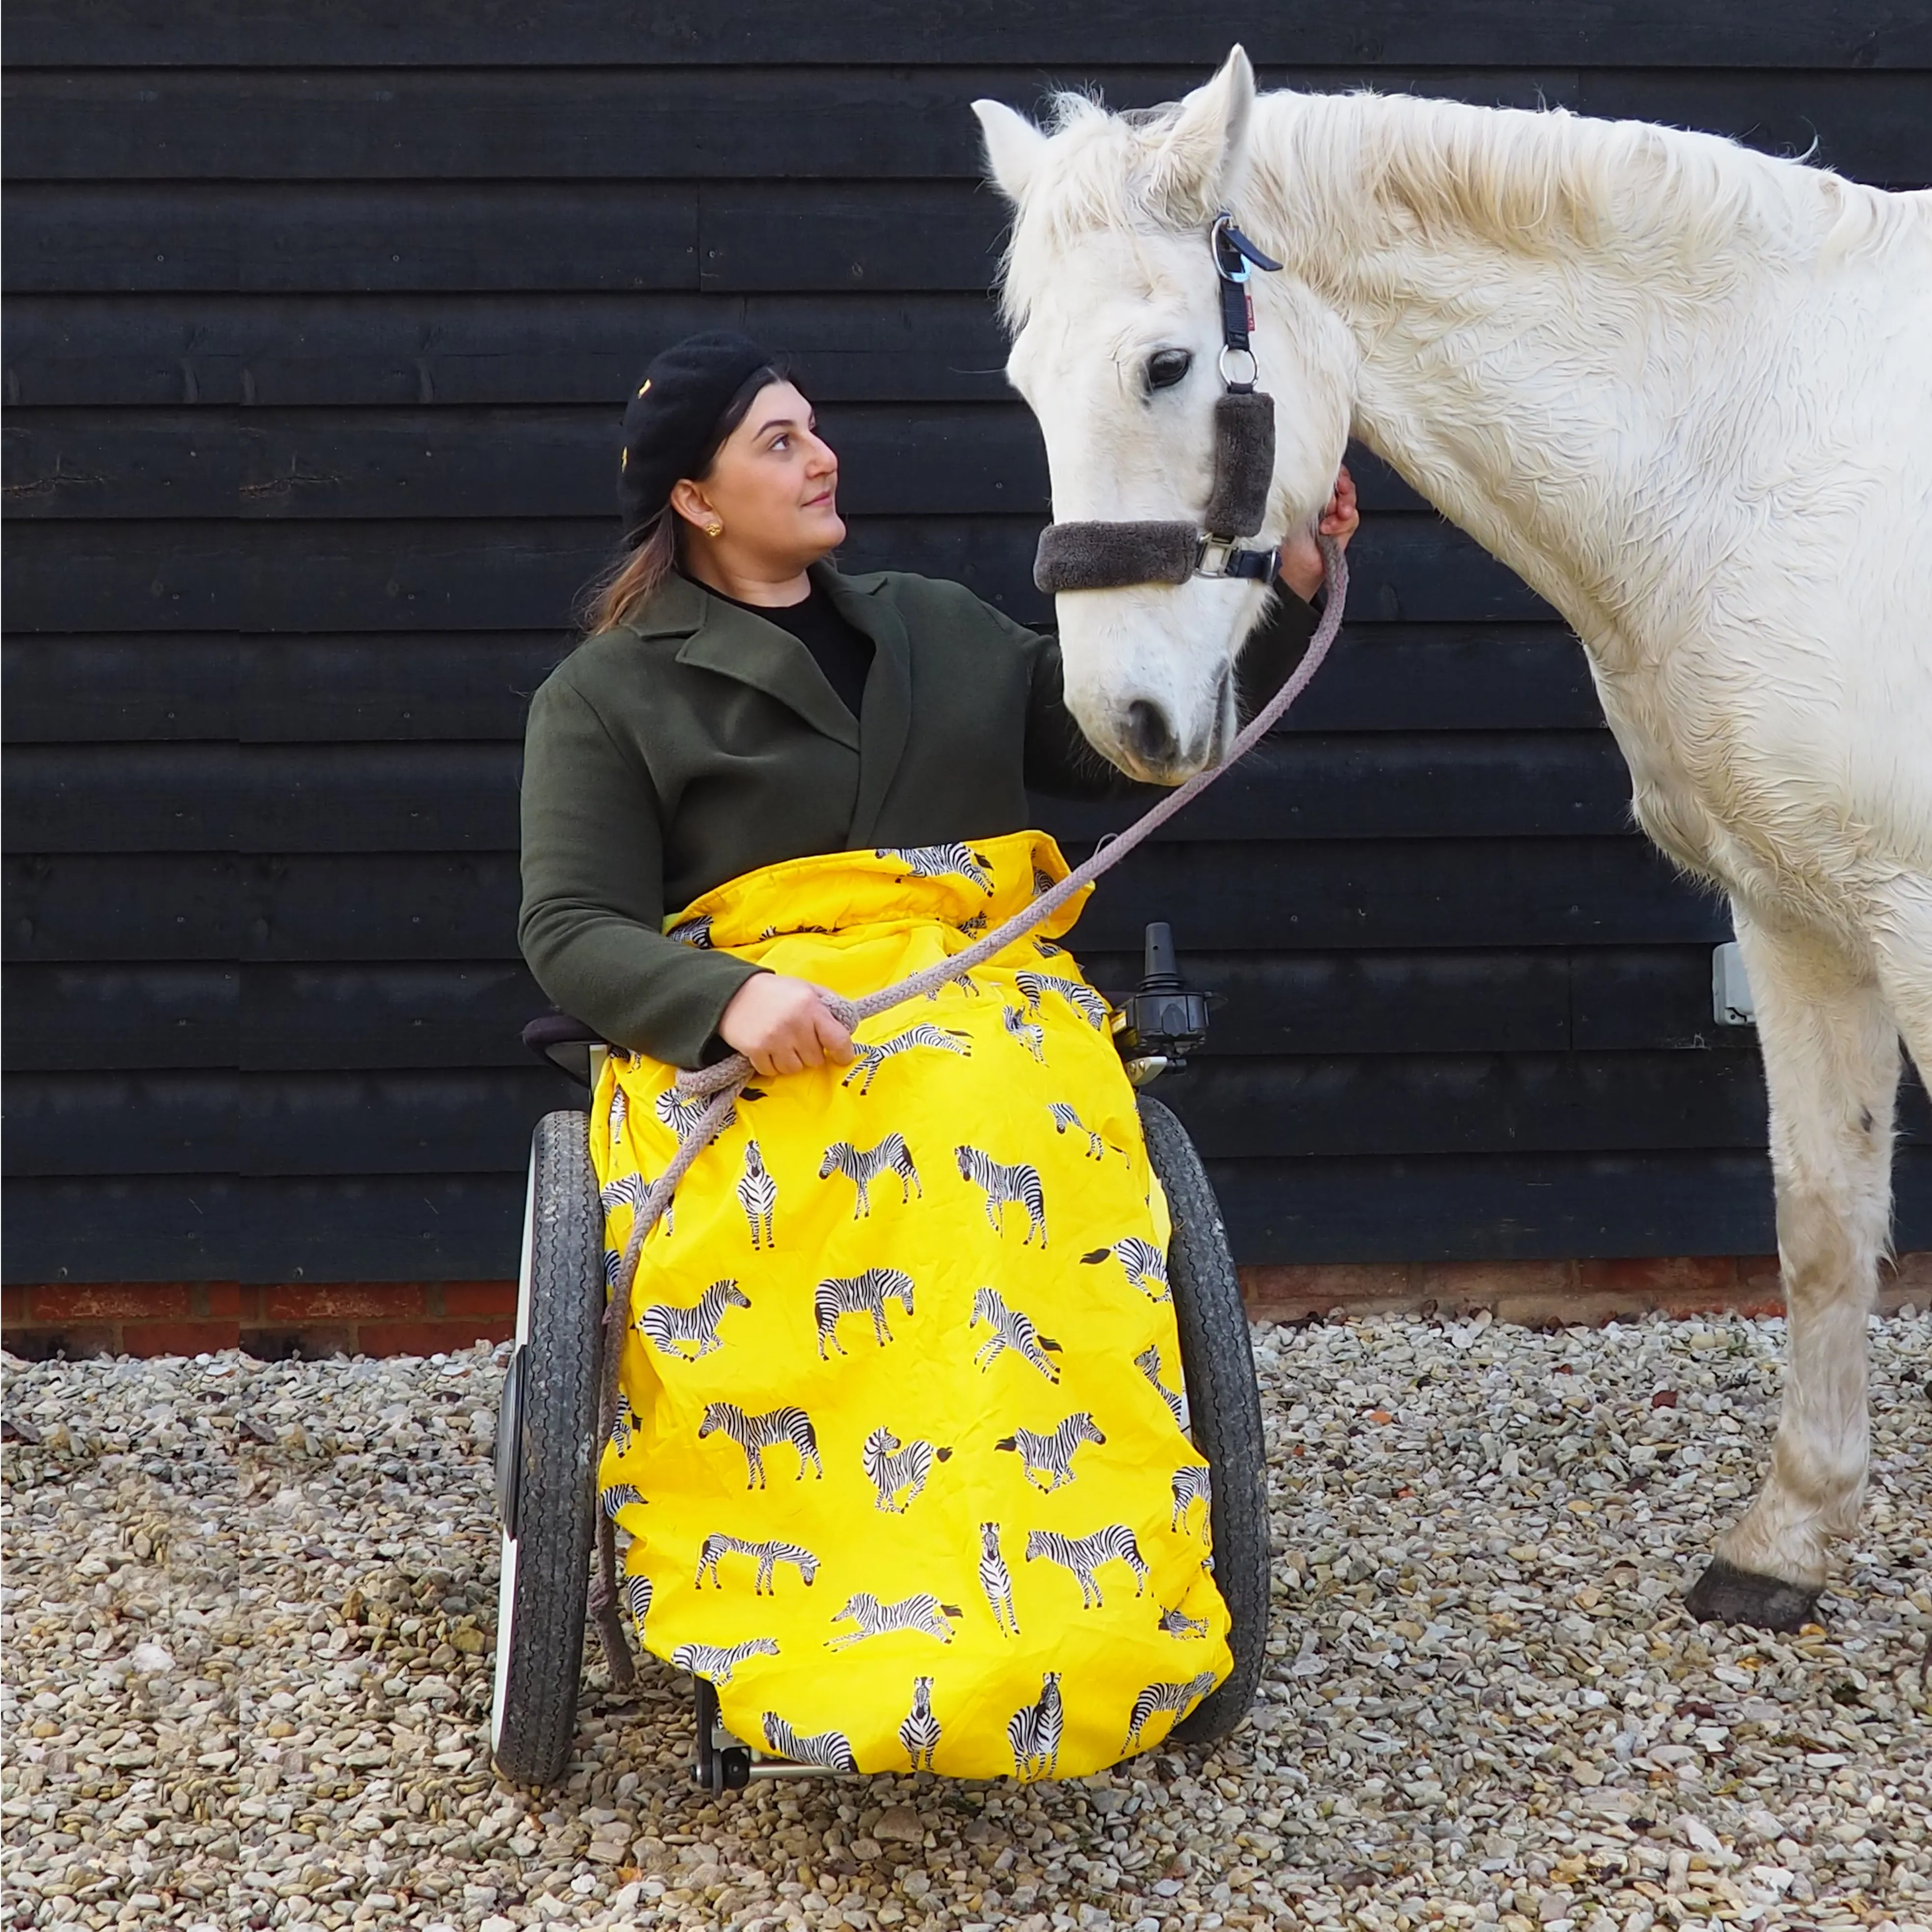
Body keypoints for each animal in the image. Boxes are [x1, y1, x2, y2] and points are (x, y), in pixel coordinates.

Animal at [981, 52, 1932, 1630]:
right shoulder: (1797, 906)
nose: (1123, 719)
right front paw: (1782, 1547)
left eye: (1165, 367)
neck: (1762, 441)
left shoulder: (1911, 916)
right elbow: (1817, 1215)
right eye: (1024, 385)